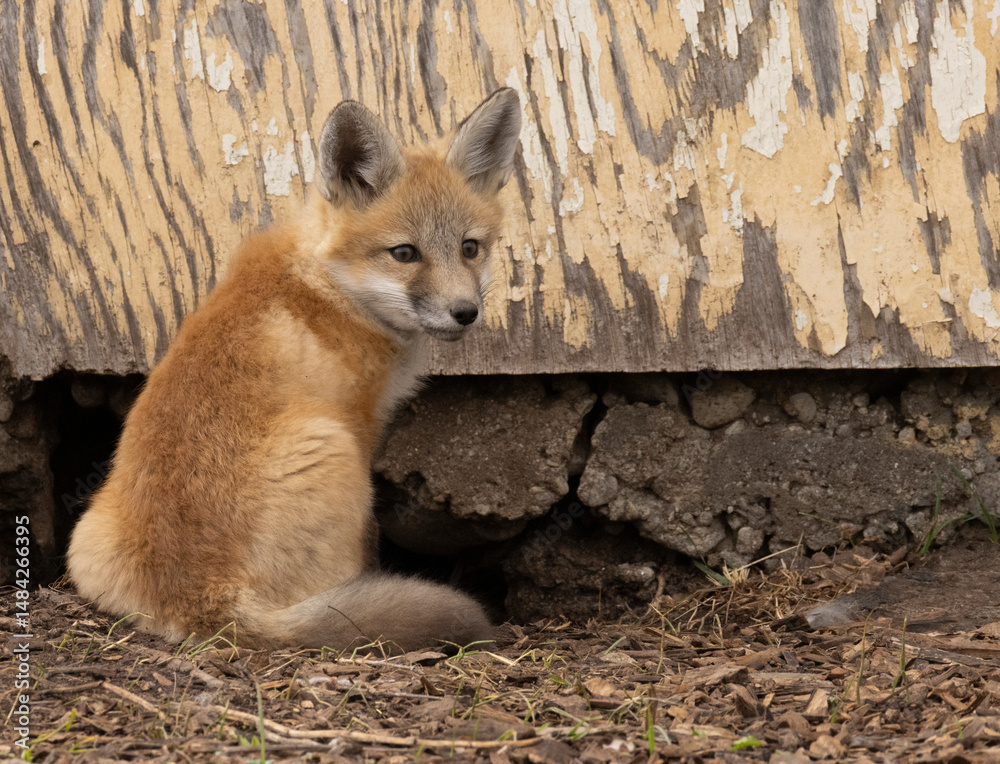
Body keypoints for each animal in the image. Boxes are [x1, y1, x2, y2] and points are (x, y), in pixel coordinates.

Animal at [66, 89, 522, 653]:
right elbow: (370, 540)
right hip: (330, 448)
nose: (465, 312)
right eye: (405, 253)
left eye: (470, 248)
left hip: (86, 536)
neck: (329, 283)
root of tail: (205, 604)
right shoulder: (360, 423)